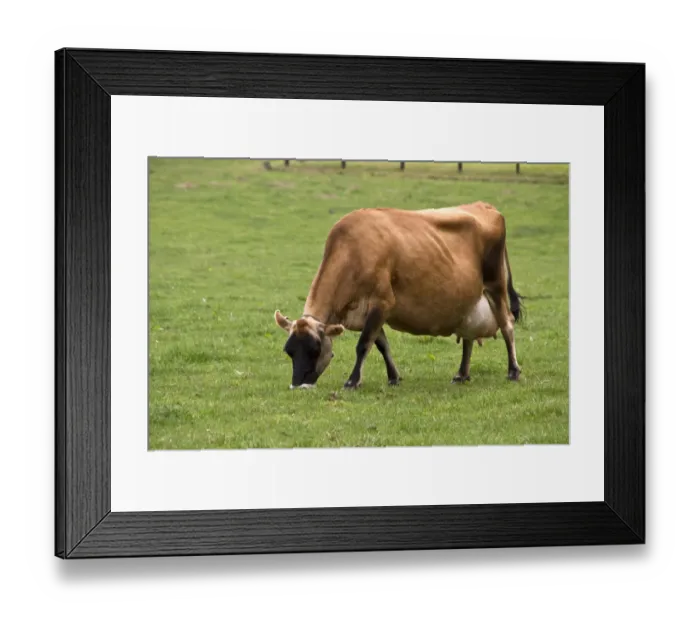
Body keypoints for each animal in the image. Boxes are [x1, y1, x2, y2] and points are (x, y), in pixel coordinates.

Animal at [274, 201, 523, 390]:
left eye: (315, 349)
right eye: (289, 351)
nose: (297, 385)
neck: (353, 250)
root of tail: (486, 206)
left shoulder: (382, 303)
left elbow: (364, 344)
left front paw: (353, 381)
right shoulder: (368, 312)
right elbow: (381, 344)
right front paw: (393, 377)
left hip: (496, 285)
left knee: (507, 325)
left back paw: (513, 370)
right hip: (468, 299)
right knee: (469, 334)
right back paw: (462, 374)